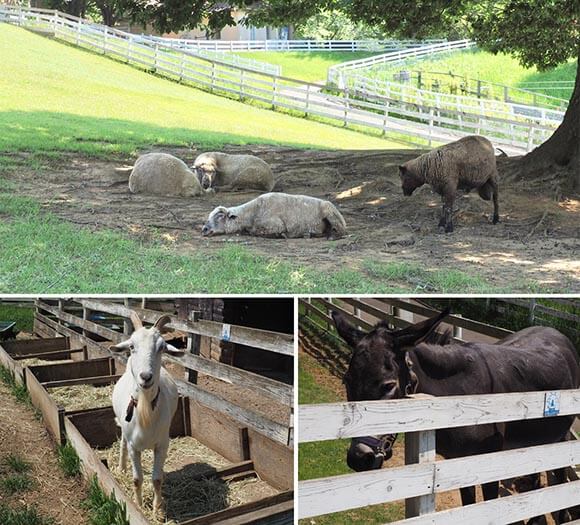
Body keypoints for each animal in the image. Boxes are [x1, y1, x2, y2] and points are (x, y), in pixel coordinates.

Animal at [107, 312, 182, 512]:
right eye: (132, 346)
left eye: (162, 347)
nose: (146, 377)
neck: (145, 410)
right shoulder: (134, 446)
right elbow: (136, 479)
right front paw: (139, 506)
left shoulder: (162, 444)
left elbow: (156, 479)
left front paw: (157, 509)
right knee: (122, 444)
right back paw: (121, 467)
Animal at [202, 192, 346, 239]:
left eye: (219, 216)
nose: (204, 229)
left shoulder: (276, 225)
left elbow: (256, 232)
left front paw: (281, 235)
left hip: (330, 212)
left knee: (340, 232)